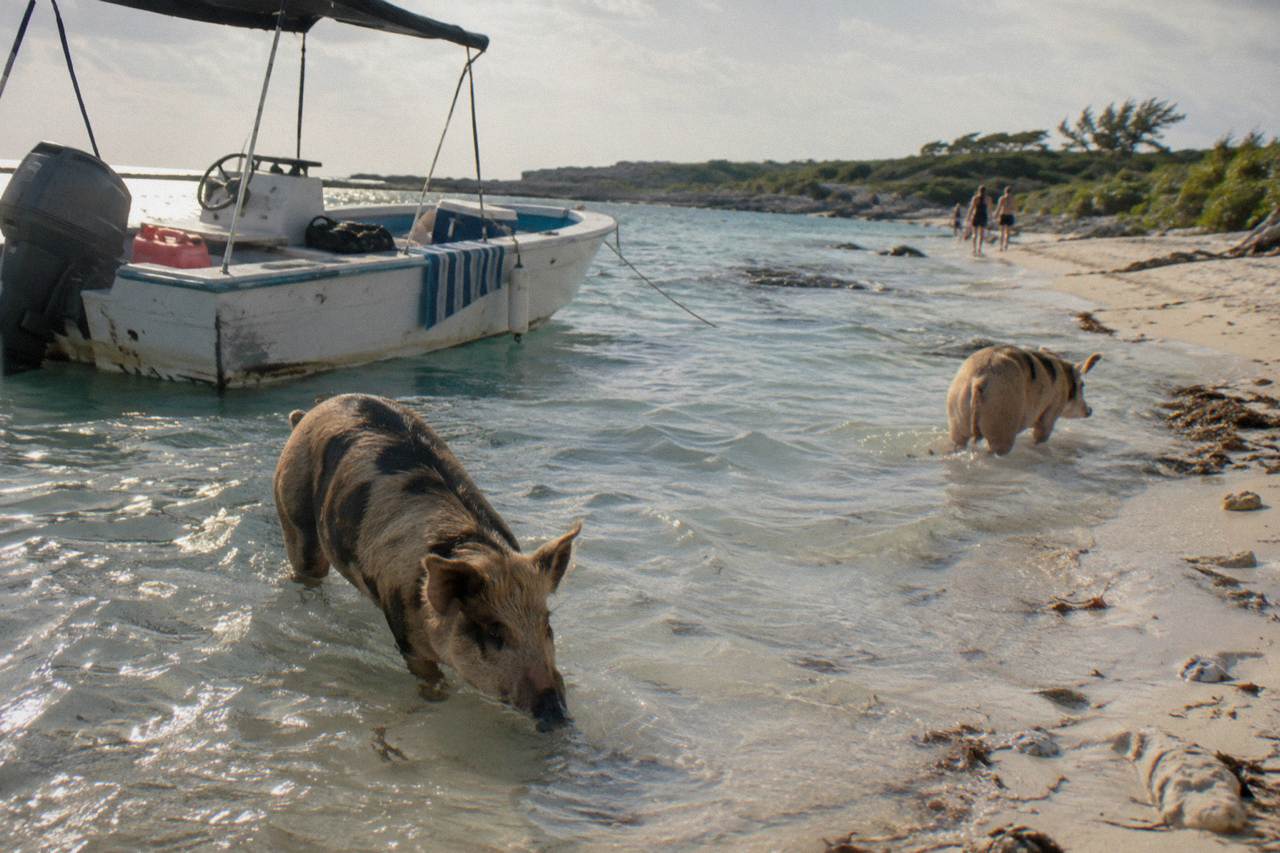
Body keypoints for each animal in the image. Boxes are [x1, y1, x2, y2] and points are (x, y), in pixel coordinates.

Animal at [273, 393, 581, 730]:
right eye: (493, 632)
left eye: (547, 625)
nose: (557, 714)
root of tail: (308, 414)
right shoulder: (404, 630)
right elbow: (429, 679)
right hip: (293, 513)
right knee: (306, 570)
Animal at [946, 345, 1101, 455]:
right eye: (1082, 385)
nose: (1090, 410)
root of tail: (980, 379)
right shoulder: (1052, 410)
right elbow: (1041, 435)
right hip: (1001, 419)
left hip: (957, 410)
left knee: (957, 442)